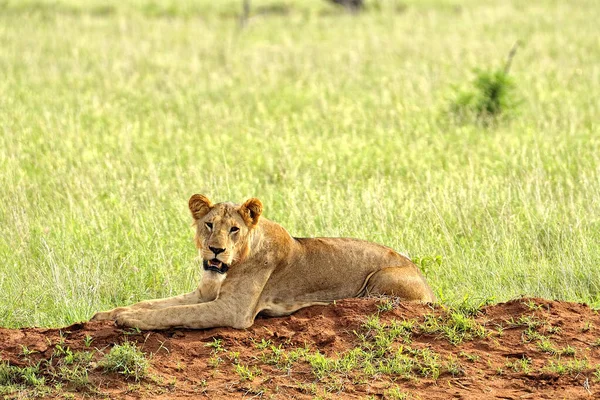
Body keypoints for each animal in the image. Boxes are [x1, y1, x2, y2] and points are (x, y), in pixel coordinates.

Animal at [90, 195, 436, 330]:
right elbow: (155, 303)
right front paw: (109, 314)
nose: (215, 250)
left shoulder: (232, 310)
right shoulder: (204, 293)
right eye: (209, 225)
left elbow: (175, 313)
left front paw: (129, 319)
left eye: (234, 229)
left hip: (381, 278)